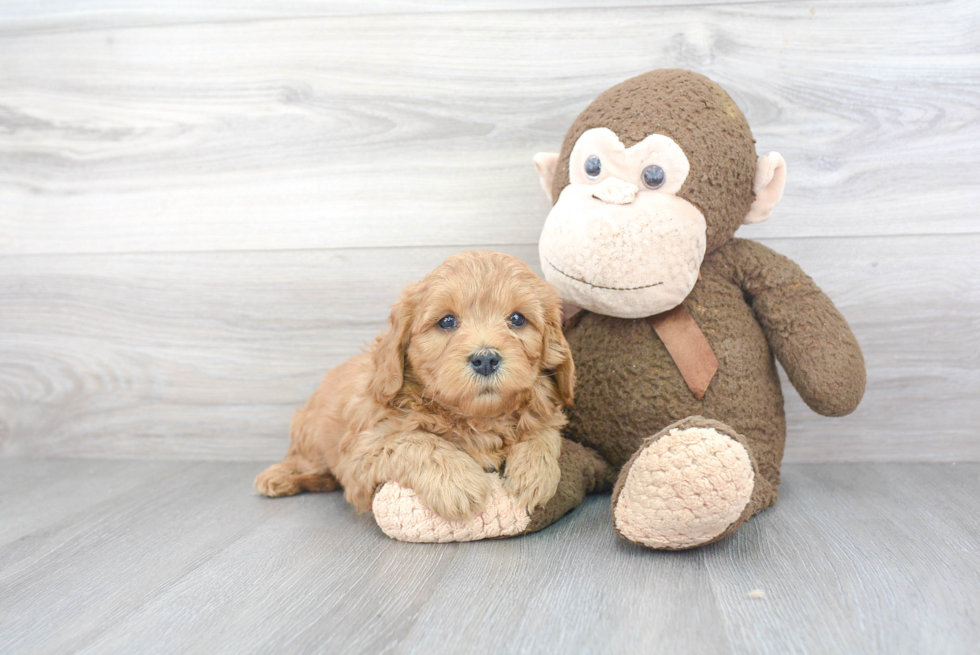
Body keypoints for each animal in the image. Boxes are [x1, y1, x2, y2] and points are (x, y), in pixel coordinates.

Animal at [255, 251, 576, 524]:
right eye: (447, 321)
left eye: (517, 319)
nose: (485, 359)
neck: (476, 418)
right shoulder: (363, 449)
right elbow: (416, 441)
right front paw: (458, 483)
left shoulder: (547, 413)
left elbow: (543, 432)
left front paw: (534, 474)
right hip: (310, 436)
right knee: (303, 460)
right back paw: (277, 477)